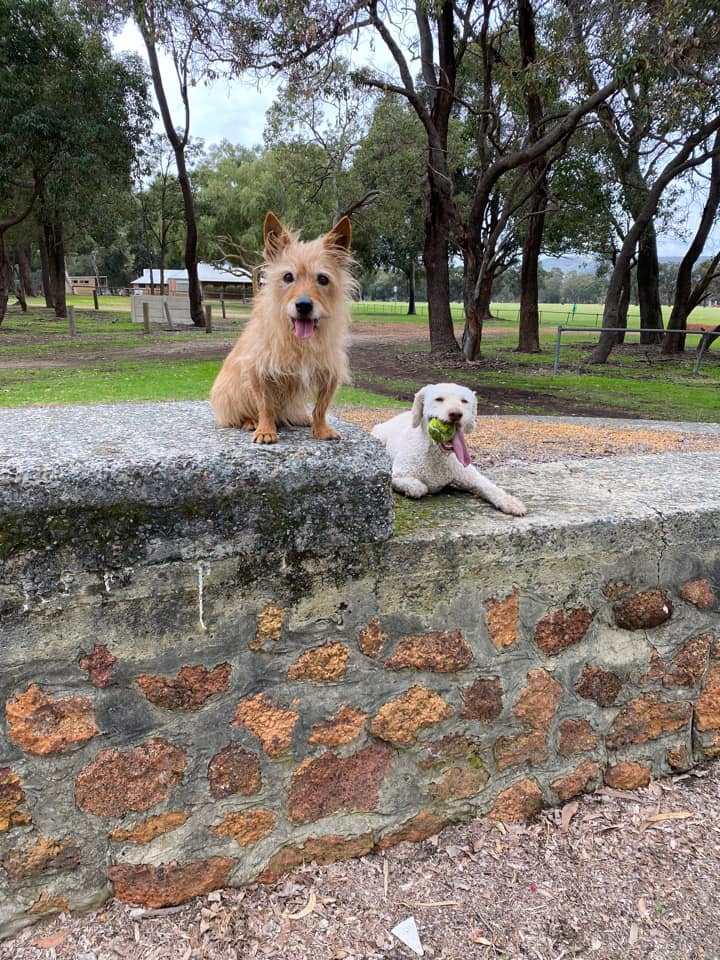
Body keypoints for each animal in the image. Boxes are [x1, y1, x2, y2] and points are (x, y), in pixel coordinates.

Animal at [210, 210, 356, 442]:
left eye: (323, 279)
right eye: (288, 277)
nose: (304, 305)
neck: (298, 341)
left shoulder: (331, 370)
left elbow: (321, 406)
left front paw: (321, 428)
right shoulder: (258, 370)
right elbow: (265, 405)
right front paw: (265, 430)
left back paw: (301, 418)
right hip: (230, 394)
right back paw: (250, 422)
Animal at [374, 382, 524, 516]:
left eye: (464, 401)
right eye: (439, 399)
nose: (456, 414)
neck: (437, 454)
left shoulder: (470, 476)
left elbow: (489, 487)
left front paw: (510, 501)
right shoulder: (397, 474)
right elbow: (418, 487)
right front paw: (417, 486)